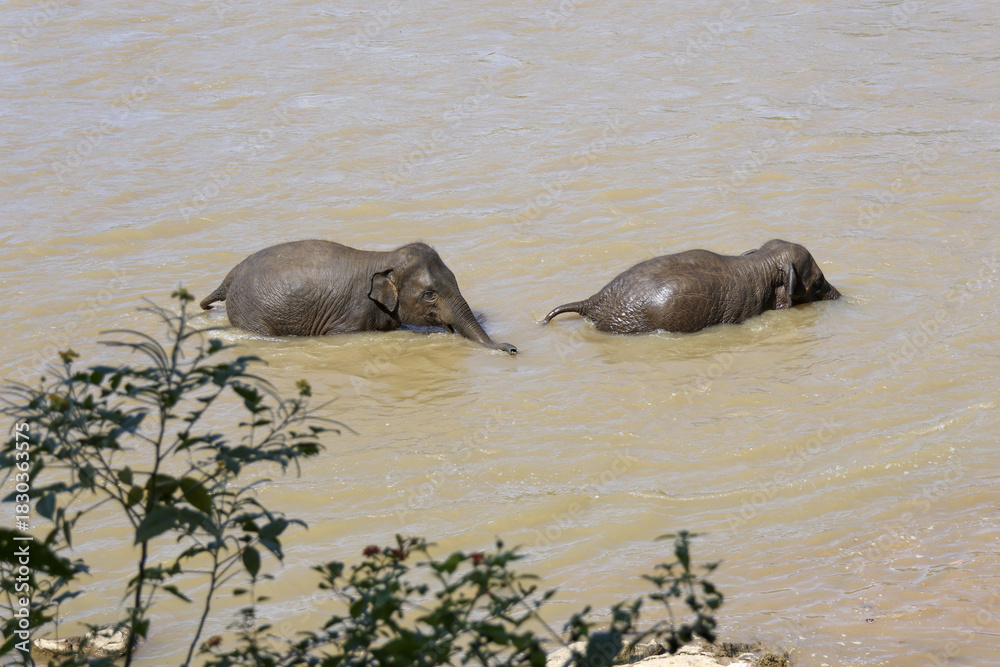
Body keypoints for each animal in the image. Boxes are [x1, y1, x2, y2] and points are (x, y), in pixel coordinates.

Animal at [200, 240, 517, 354]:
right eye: (429, 295)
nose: (512, 349)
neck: (382, 258)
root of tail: (229, 278)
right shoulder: (351, 316)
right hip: (251, 313)